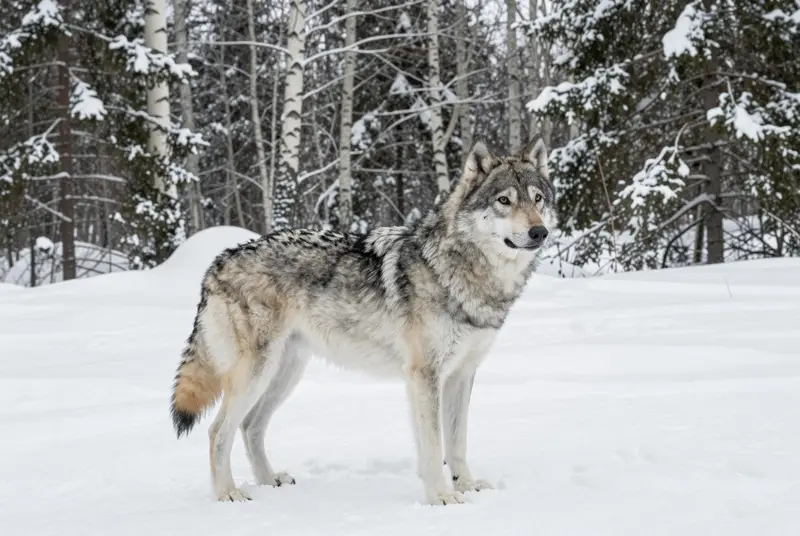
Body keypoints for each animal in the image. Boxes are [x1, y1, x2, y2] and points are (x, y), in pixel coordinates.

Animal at [170, 136, 557, 505]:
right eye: (504, 201)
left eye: (537, 199)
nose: (539, 233)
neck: (461, 270)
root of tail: (218, 261)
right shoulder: (424, 376)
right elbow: (435, 447)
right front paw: (442, 497)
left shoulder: (461, 374)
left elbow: (457, 443)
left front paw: (468, 486)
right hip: (256, 373)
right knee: (218, 431)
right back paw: (228, 493)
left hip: (285, 372)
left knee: (250, 426)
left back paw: (269, 480)